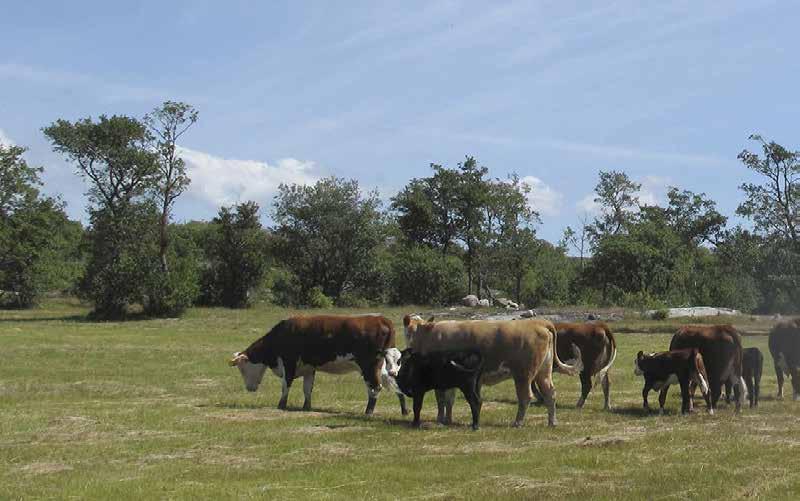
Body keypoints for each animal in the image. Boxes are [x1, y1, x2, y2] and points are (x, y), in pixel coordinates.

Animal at [228, 314, 400, 416]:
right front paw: (306, 407)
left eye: (242, 369)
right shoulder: (309, 368)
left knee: (375, 387)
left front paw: (281, 405)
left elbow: (286, 385)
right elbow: (307, 388)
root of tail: (380, 319)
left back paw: (368, 412)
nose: (249, 389)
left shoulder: (289, 362)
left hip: (369, 366)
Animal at [400, 314, 580, 424]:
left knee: (525, 396)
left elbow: (442, 399)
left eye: (409, 331)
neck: (428, 335)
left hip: (523, 374)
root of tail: (539, 322)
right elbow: (449, 400)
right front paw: (448, 419)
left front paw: (441, 419)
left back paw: (518, 422)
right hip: (543, 372)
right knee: (550, 393)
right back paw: (552, 422)